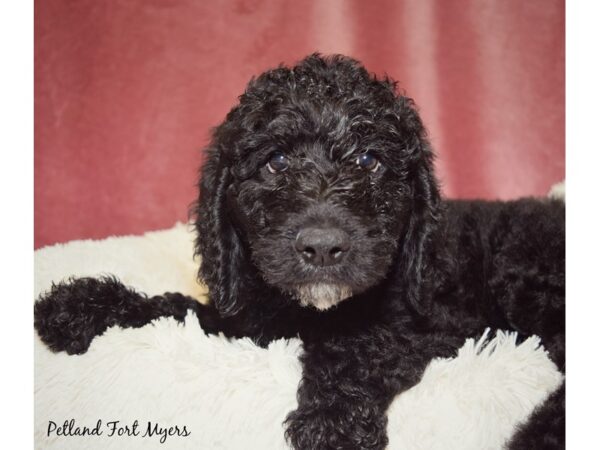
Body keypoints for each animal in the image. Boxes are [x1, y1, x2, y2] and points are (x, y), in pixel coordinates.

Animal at [35, 54, 564, 448]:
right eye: (276, 162)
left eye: (369, 161)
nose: (323, 247)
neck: (309, 312)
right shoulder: (245, 321)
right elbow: (174, 307)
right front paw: (77, 305)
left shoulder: (440, 327)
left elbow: (358, 345)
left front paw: (331, 422)